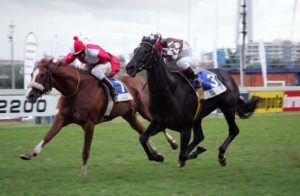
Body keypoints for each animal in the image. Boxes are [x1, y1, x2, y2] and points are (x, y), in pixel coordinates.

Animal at [21, 57, 178, 175]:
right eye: (31, 74)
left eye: (42, 75)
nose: (29, 95)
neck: (76, 90)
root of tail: (139, 79)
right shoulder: (61, 118)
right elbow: (48, 136)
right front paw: (30, 153)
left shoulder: (89, 123)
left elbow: (86, 149)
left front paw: (83, 171)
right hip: (129, 115)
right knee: (142, 130)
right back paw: (157, 153)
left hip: (145, 110)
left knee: (159, 125)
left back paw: (173, 143)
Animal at [126, 38, 260, 168]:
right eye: (135, 50)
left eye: (146, 51)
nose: (129, 67)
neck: (170, 90)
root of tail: (230, 77)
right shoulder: (159, 122)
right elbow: (143, 137)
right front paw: (157, 157)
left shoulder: (185, 127)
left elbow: (182, 155)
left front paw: (193, 153)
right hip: (198, 117)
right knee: (199, 136)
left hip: (228, 108)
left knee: (234, 130)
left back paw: (221, 156)